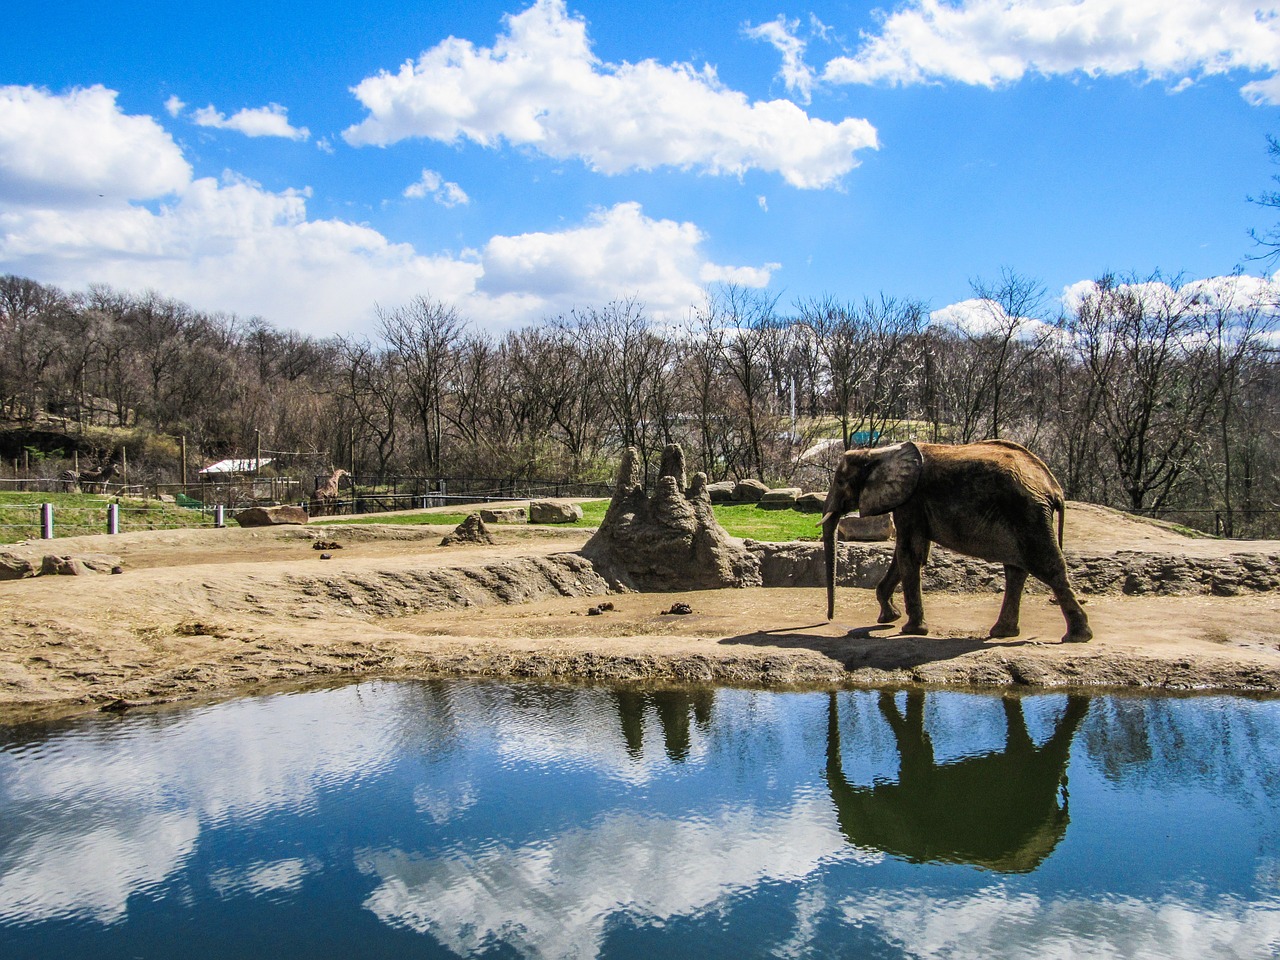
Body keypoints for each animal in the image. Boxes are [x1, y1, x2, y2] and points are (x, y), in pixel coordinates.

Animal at [829, 442, 1090, 647]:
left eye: (841, 481)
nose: (830, 619)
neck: (879, 452)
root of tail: (1053, 487)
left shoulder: (911, 500)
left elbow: (908, 554)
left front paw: (910, 630)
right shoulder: (911, 503)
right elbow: (910, 553)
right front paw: (888, 619)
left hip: (1028, 513)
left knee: (1047, 567)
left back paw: (1076, 637)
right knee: (1016, 571)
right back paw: (1003, 633)